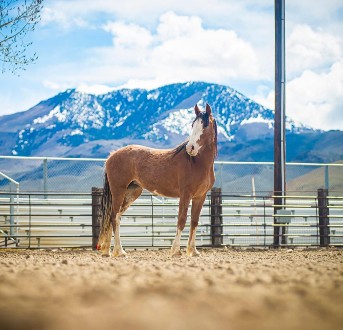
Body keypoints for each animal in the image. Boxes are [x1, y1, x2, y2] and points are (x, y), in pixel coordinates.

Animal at [97, 103, 219, 258]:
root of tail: (111, 156)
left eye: (205, 125)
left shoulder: (200, 197)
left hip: (132, 192)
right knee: (113, 217)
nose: (190, 148)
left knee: (115, 217)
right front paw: (176, 251)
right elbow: (181, 220)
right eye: (193, 124)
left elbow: (194, 221)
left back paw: (107, 251)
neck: (196, 162)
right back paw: (120, 251)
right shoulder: (185, 195)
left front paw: (193, 251)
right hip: (119, 191)